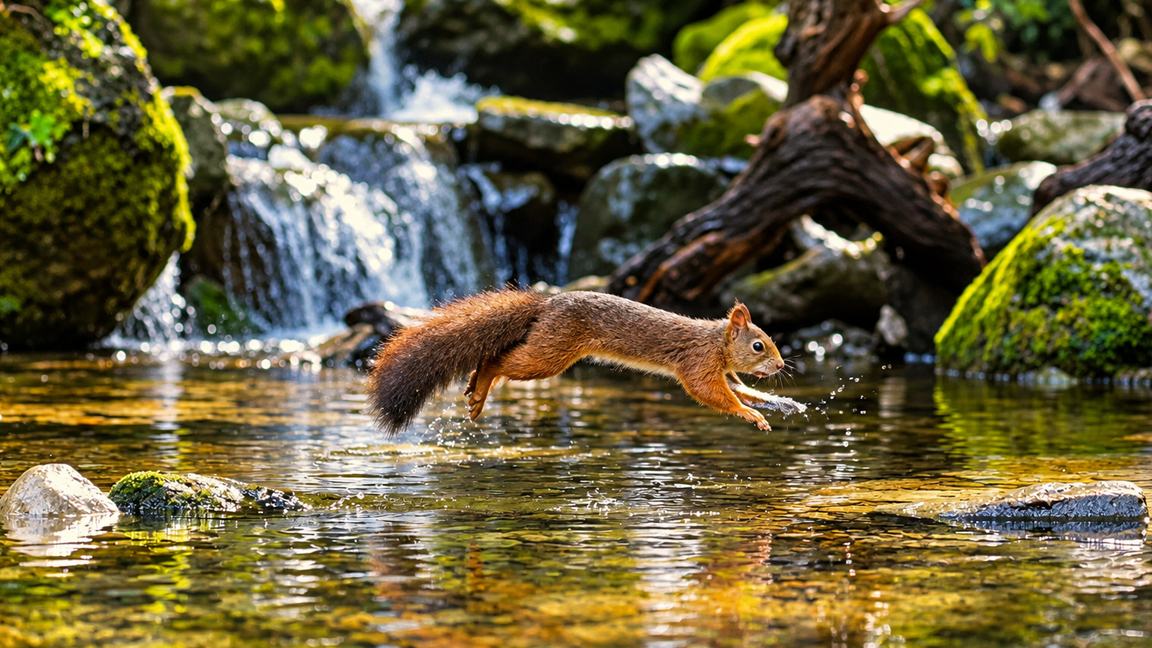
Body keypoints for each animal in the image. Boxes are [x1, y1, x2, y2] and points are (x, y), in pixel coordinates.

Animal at [367, 290, 787, 434]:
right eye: (759, 346)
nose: (781, 366)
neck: (716, 342)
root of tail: (545, 304)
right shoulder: (697, 363)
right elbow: (709, 393)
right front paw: (751, 415)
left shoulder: (722, 371)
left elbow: (738, 389)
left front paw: (768, 402)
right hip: (550, 353)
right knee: (496, 362)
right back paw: (481, 386)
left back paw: (476, 391)